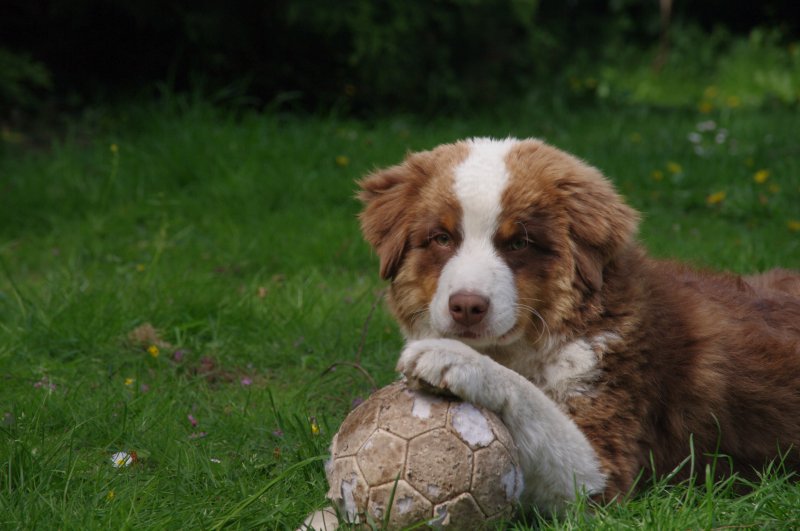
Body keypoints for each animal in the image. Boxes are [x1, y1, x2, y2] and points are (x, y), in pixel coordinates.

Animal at [358, 137, 800, 516]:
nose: (467, 307)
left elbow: (533, 403)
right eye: (442, 238)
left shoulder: (603, 470)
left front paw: (456, 360)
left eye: (518, 243)